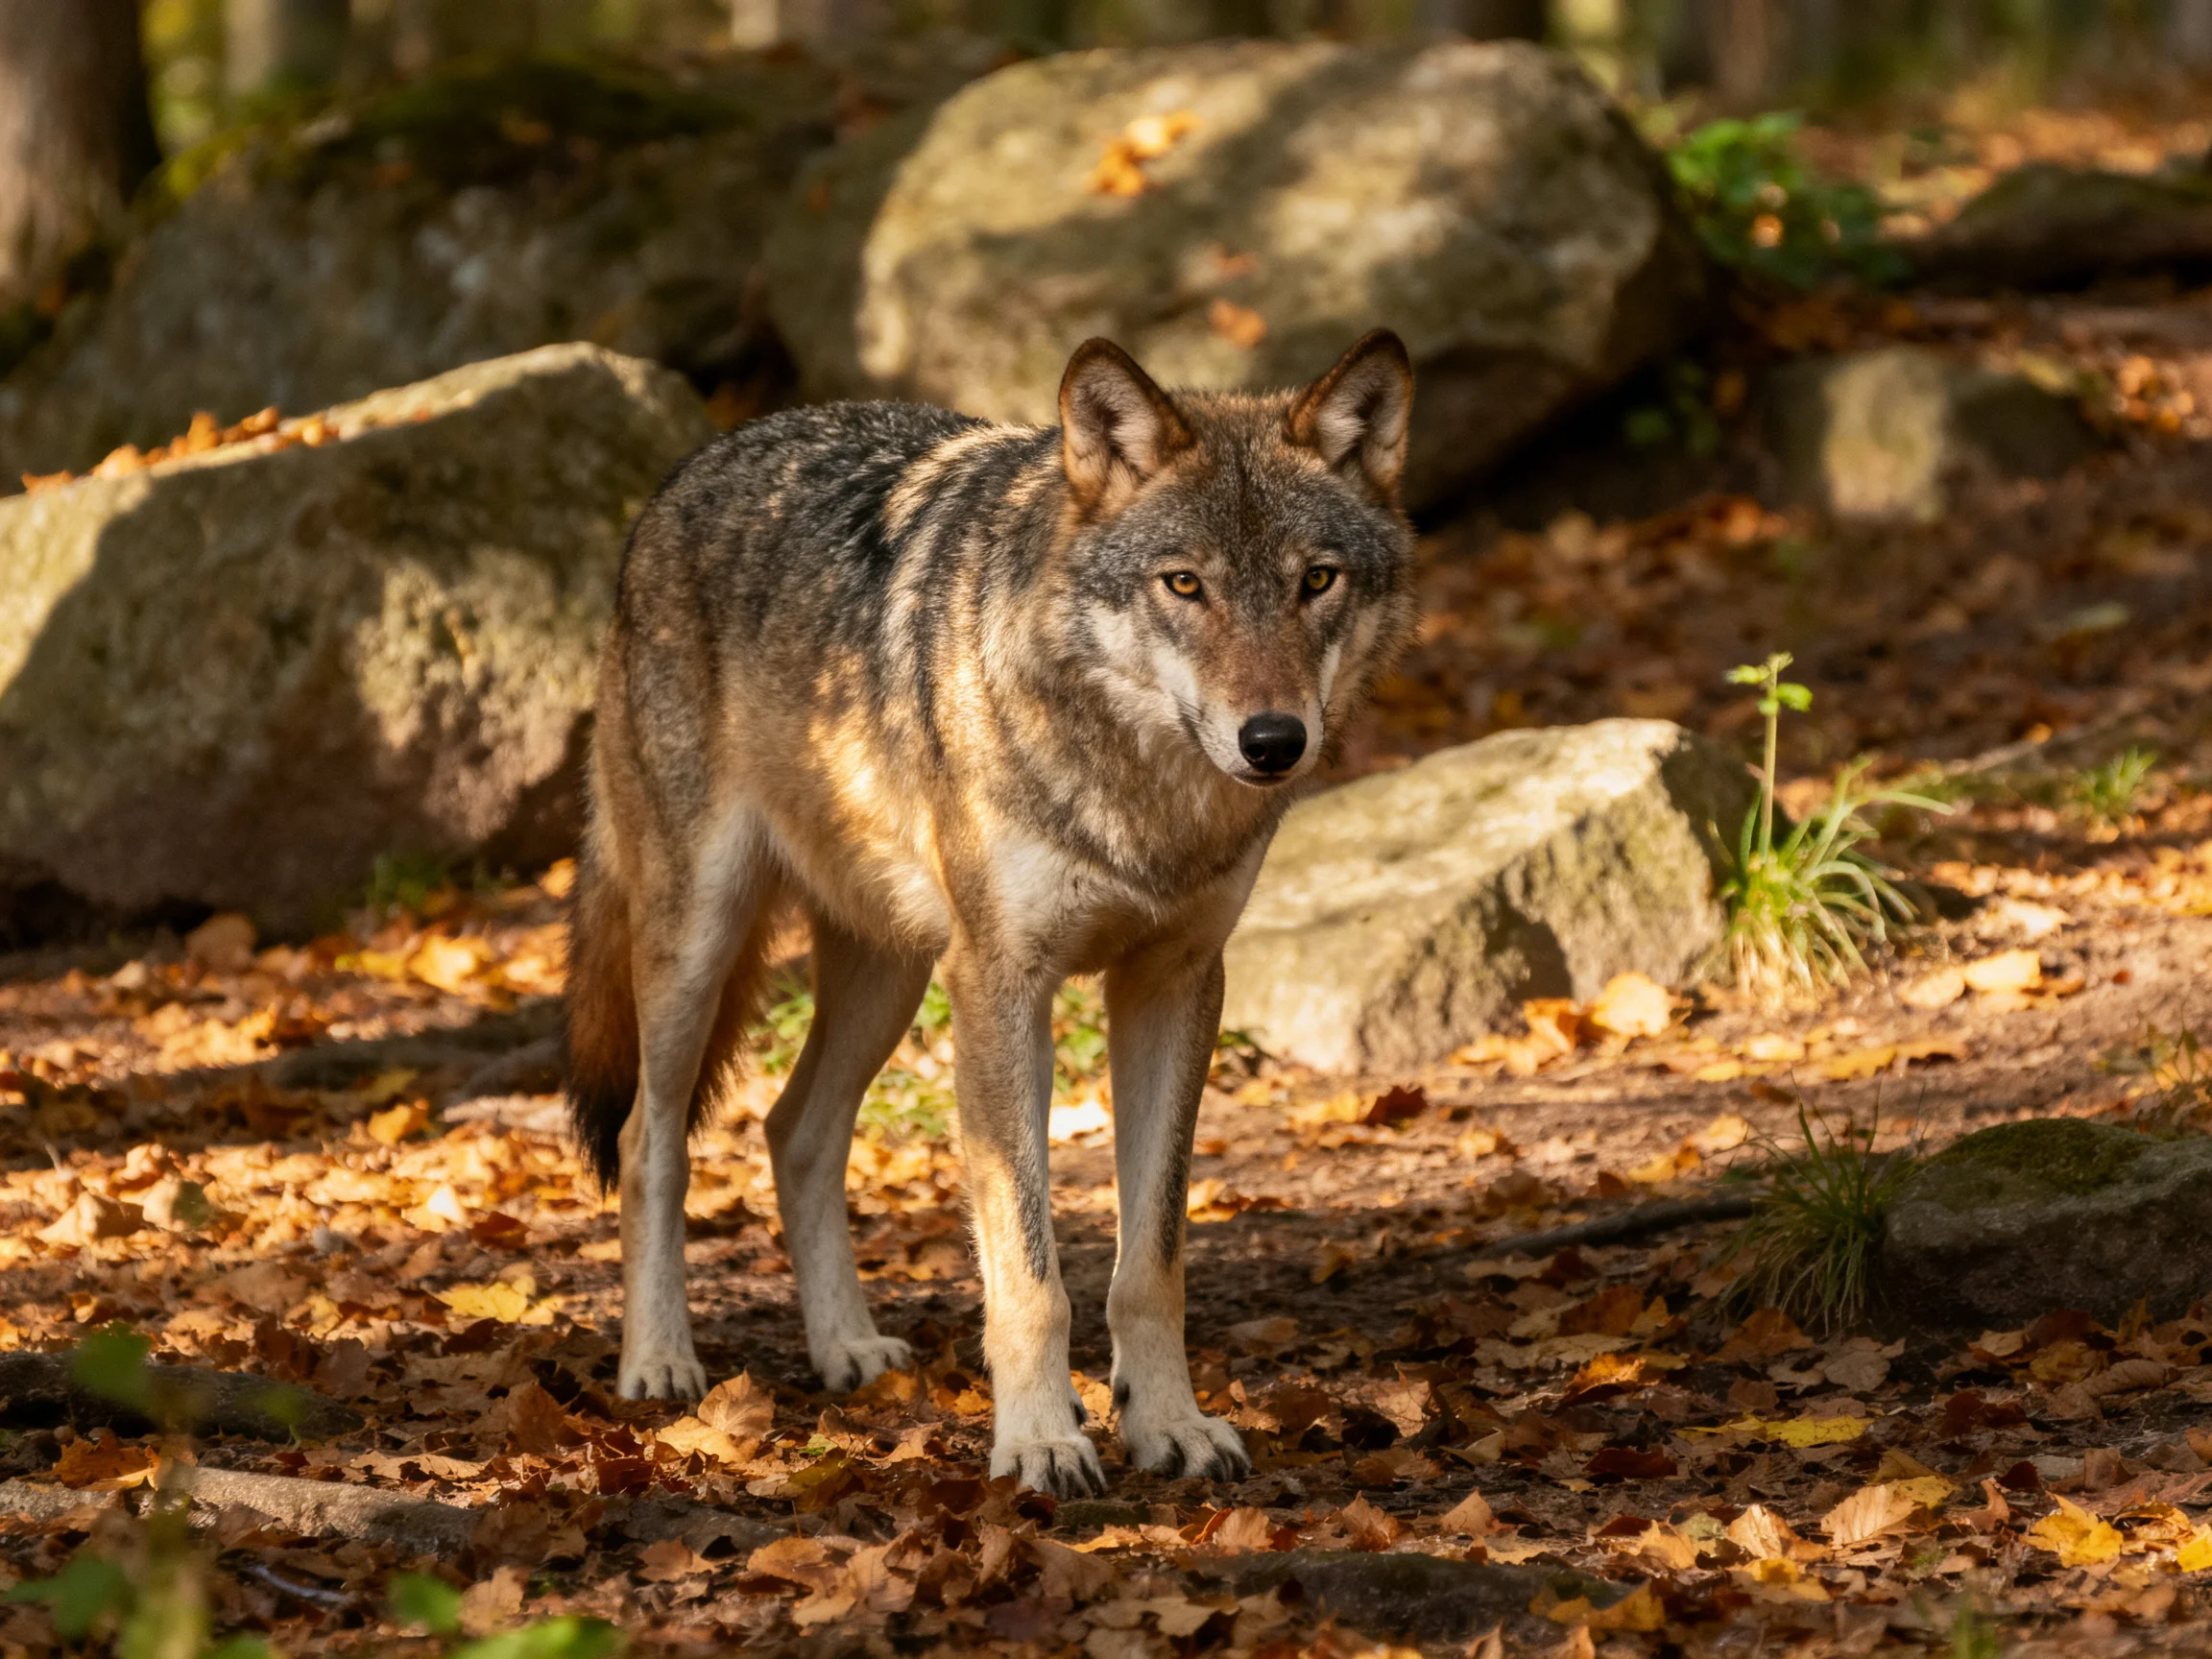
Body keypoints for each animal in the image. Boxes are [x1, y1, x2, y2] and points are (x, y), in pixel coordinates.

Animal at [563, 329, 1417, 1495]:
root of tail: (688, 472)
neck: (1140, 800)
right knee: (653, 1140)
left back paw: (846, 1347)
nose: (1274, 741)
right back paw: (657, 1362)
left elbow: (1150, 1263)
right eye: (1184, 585)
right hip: (700, 943)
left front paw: (1170, 1425)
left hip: (891, 976)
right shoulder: (1005, 987)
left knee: (794, 1131)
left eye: (1315, 581)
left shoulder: (1174, 983)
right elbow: (1028, 1266)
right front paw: (1041, 1440)